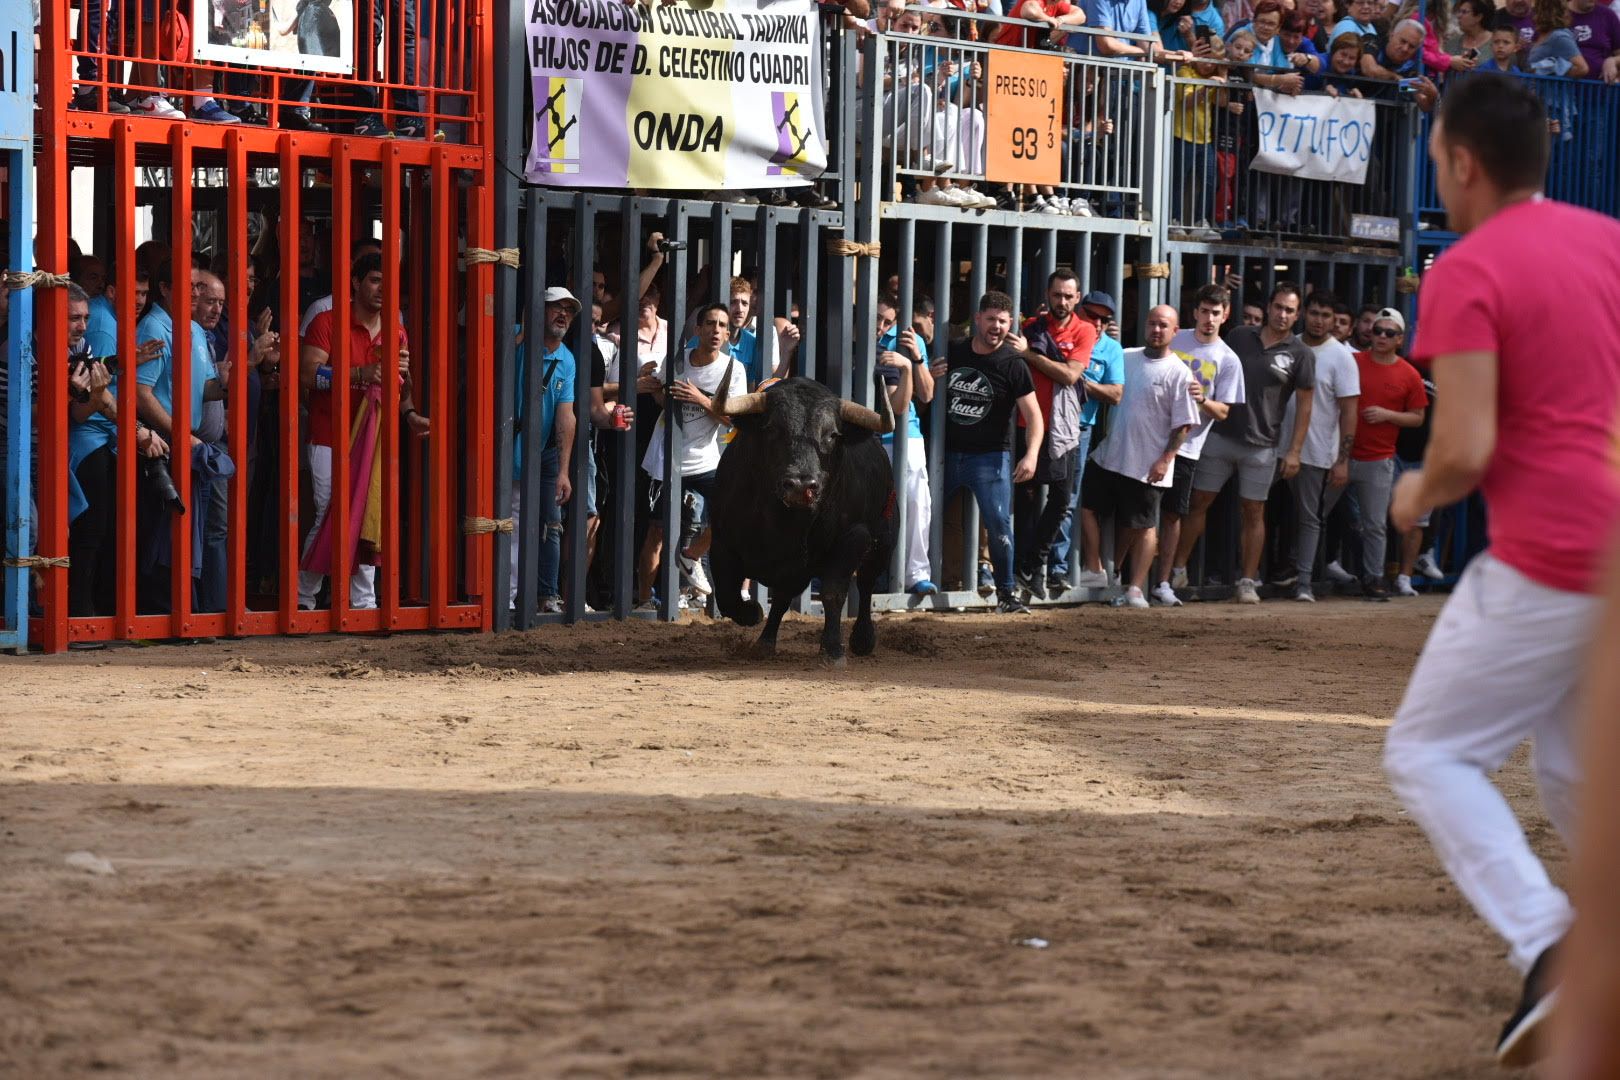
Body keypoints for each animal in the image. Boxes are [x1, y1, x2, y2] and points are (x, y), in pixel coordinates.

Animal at [712, 372, 900, 663]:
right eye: (772, 428)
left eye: (832, 435)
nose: (801, 486)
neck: (782, 522)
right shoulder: (721, 543)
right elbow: (726, 596)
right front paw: (753, 611)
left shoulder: (853, 538)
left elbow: (833, 593)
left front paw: (832, 649)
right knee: (781, 599)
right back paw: (765, 642)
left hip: (883, 543)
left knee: (867, 583)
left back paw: (862, 639)